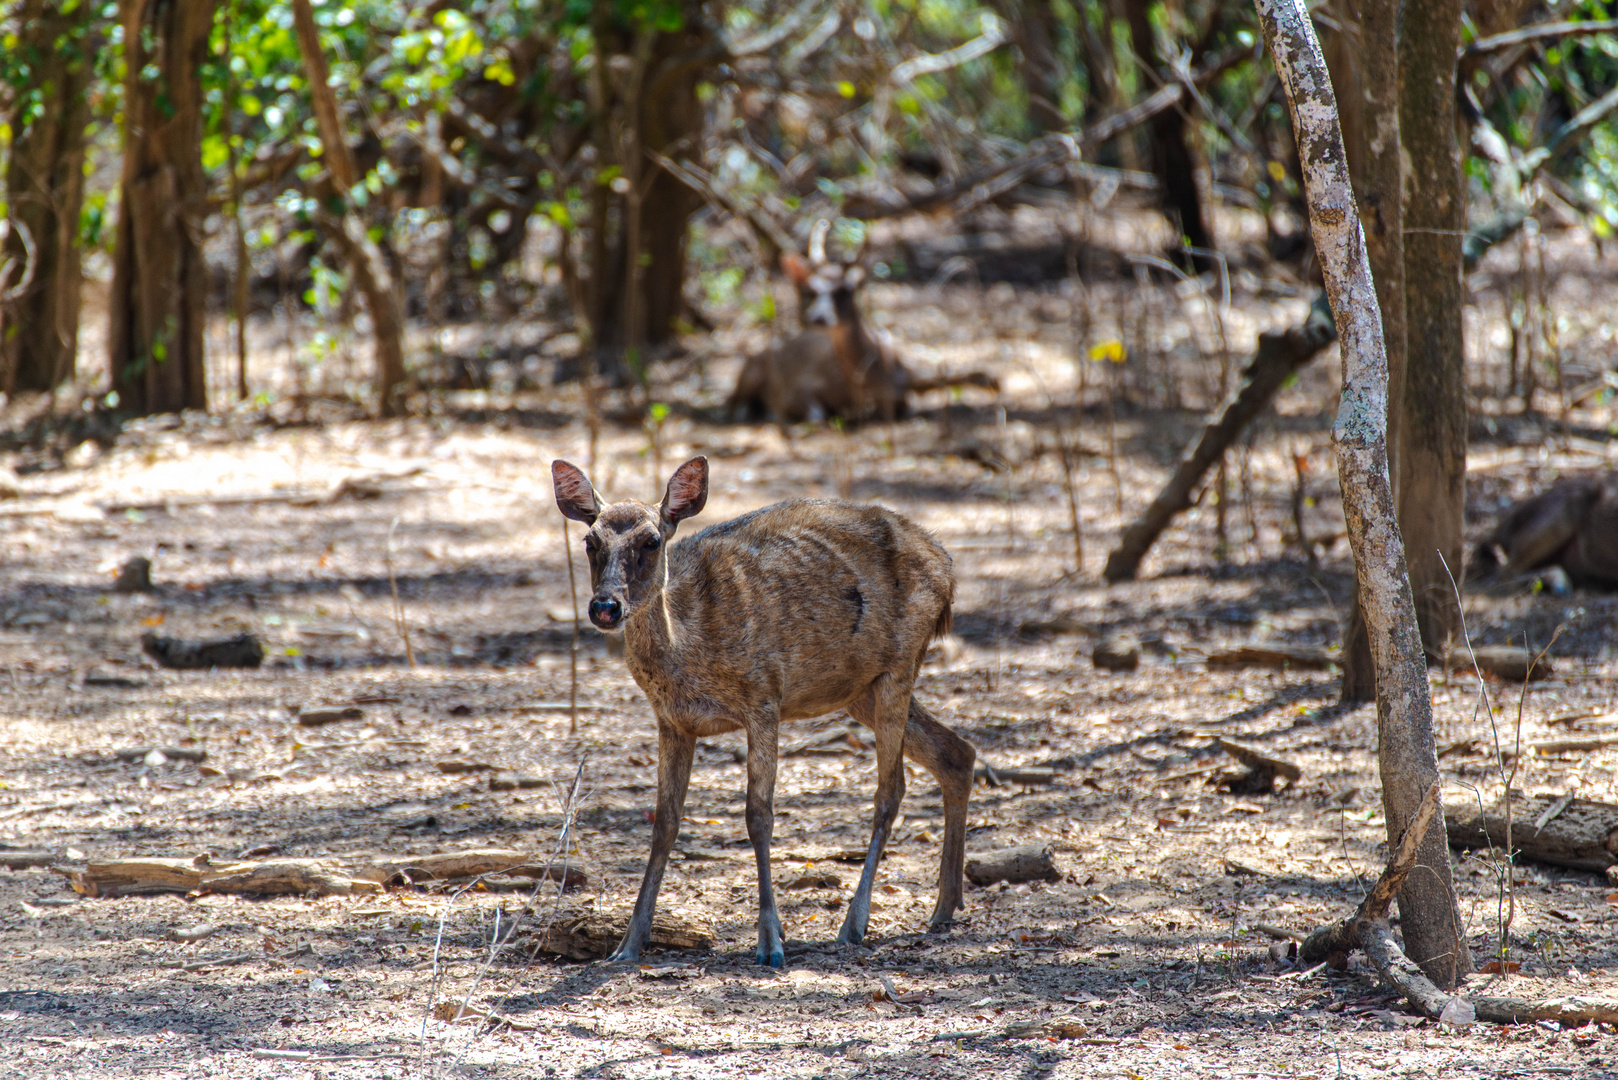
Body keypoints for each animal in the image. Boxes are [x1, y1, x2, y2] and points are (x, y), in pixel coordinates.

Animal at [553, 453, 970, 965]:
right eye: (590, 541)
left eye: (651, 541)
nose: (605, 607)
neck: (689, 648)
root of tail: (948, 573)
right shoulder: (672, 721)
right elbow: (664, 824)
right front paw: (628, 944)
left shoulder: (764, 697)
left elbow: (759, 816)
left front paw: (771, 942)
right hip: (860, 690)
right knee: (956, 752)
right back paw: (945, 906)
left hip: (899, 664)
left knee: (891, 790)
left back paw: (855, 923)